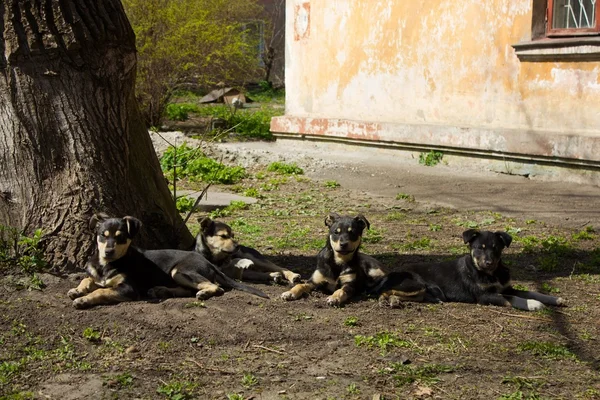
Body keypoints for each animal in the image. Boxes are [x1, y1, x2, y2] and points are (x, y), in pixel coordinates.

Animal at [65, 214, 268, 308]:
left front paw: (84, 299)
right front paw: (78, 290)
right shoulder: (97, 275)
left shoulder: (128, 289)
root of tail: (209, 262)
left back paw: (202, 293)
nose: (108, 251)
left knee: (215, 286)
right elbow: (88, 279)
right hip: (177, 275)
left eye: (120, 237)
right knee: (188, 290)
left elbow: (102, 291)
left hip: (180, 270)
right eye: (103, 235)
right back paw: (161, 290)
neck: (106, 265)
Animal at [372, 230, 564, 310]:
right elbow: (513, 298)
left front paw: (554, 299)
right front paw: (533, 305)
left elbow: (531, 292)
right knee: (384, 291)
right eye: (479, 248)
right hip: (416, 284)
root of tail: (388, 274)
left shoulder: (506, 287)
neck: (491, 274)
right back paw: (389, 301)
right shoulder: (485, 296)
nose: (488, 262)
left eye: (496, 248)